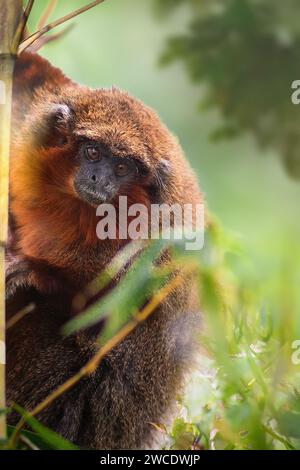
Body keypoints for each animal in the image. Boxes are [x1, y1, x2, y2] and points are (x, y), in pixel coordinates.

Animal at [5, 50, 203, 448]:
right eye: (93, 153)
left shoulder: (154, 245)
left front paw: (36, 271)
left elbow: (100, 319)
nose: (99, 179)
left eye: (122, 167)